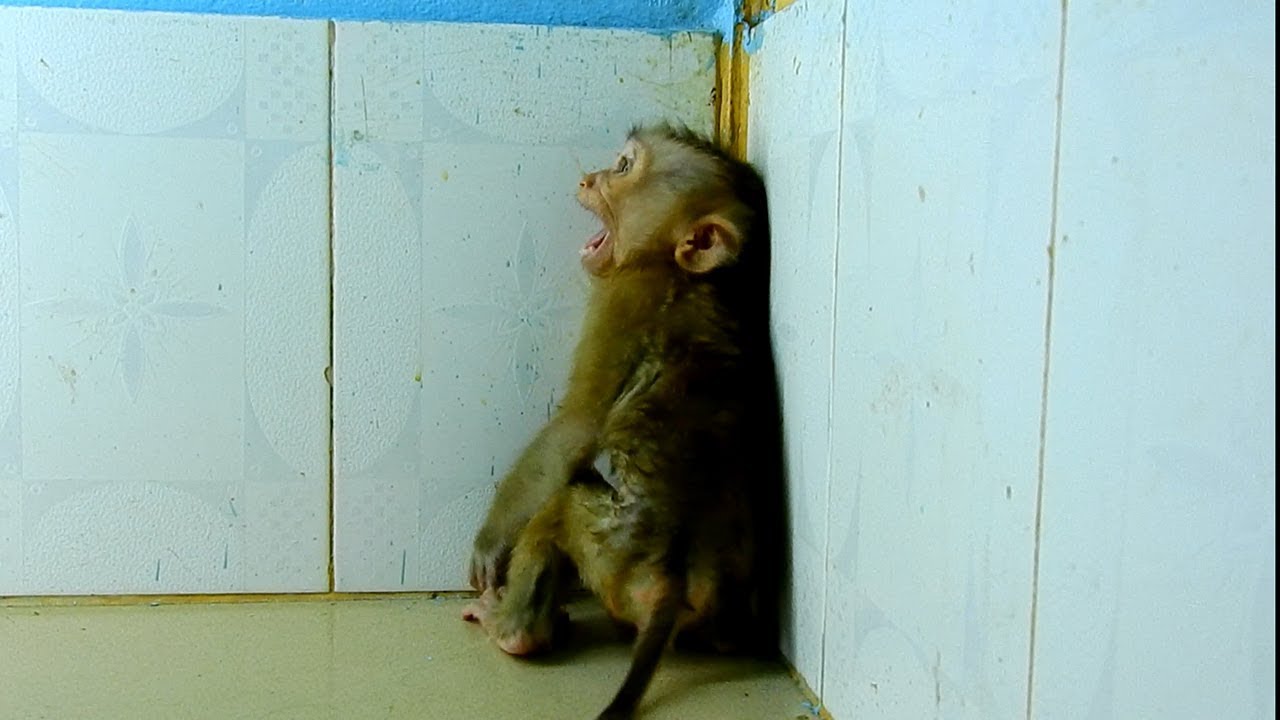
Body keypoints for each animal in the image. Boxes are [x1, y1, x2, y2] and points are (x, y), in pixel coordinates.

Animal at [462, 123, 781, 720]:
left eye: (624, 167)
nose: (589, 177)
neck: (674, 269)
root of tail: (671, 580)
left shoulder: (624, 295)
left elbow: (576, 427)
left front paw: (489, 544)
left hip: (611, 552)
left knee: (561, 506)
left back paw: (514, 631)